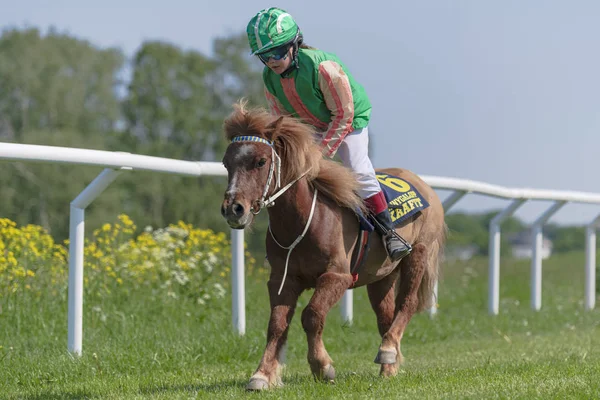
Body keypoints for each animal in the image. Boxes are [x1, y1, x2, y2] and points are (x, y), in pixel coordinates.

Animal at [220, 101, 446, 390]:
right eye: (226, 163)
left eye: (260, 161)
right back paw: (389, 364)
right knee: (385, 315)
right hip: (381, 275)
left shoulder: (337, 276)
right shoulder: (283, 279)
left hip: (418, 253)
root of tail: (423, 185)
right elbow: (277, 324)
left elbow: (312, 315)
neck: (305, 220)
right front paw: (262, 374)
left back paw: (387, 350)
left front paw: (321, 366)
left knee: (407, 303)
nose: (233, 209)